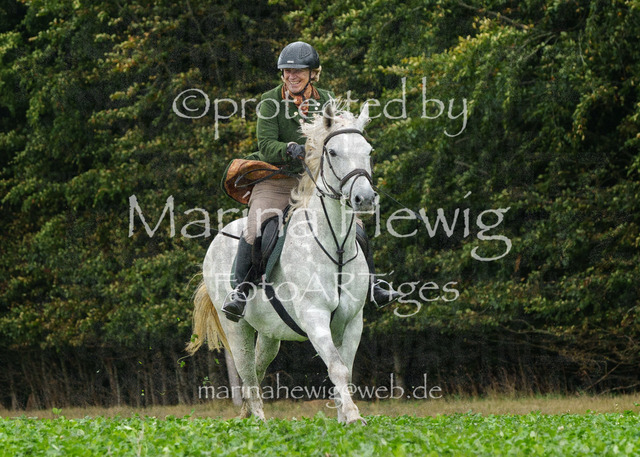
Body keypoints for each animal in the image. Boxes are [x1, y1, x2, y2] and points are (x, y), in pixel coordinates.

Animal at [186, 101, 375, 425]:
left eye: (368, 150)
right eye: (333, 152)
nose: (364, 198)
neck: (335, 246)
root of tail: (217, 238)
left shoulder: (352, 321)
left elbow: (345, 370)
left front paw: (343, 417)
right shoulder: (314, 317)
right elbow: (336, 367)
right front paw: (352, 417)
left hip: (269, 331)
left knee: (258, 365)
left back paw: (249, 413)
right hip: (236, 326)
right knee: (247, 371)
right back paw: (259, 421)